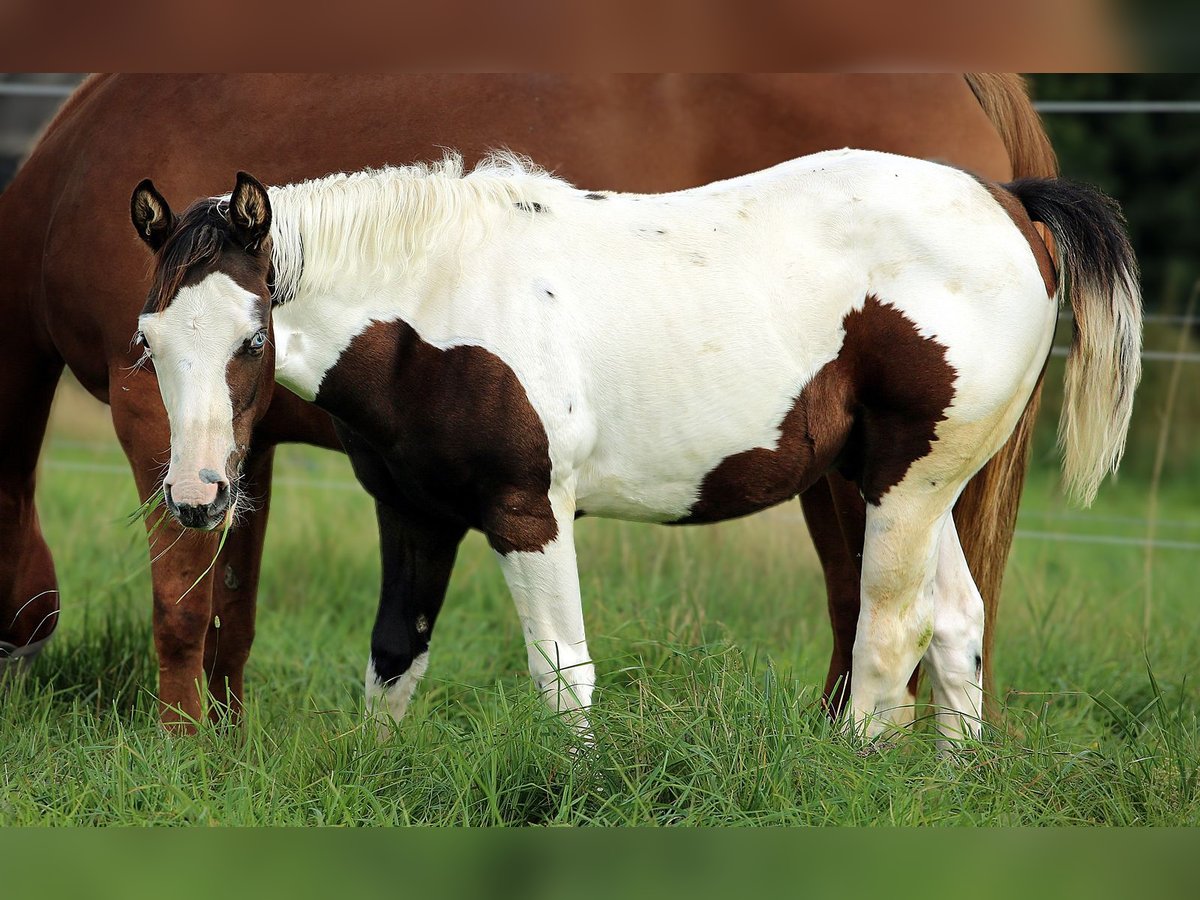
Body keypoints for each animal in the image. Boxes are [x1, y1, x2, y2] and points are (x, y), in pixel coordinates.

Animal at [0, 74, 1056, 729]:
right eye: (150, 344)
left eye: (251, 339)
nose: (195, 497)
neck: (437, 301)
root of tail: (1009, 204)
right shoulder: (415, 516)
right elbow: (393, 658)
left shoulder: (527, 515)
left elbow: (563, 678)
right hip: (910, 486)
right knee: (955, 624)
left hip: (897, 489)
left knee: (890, 634)